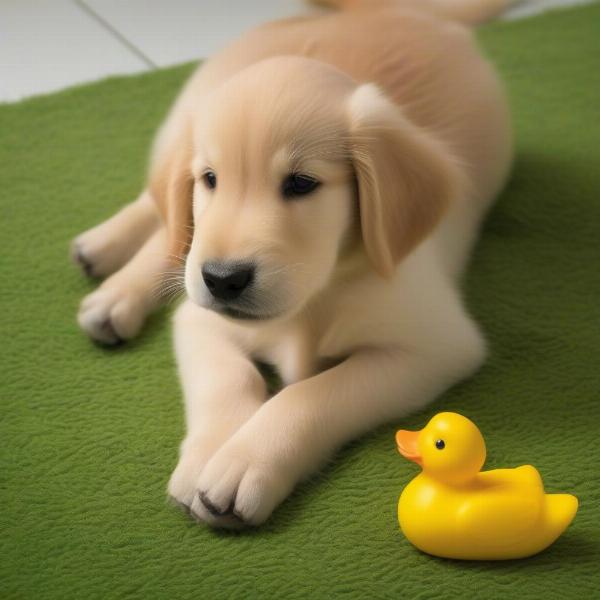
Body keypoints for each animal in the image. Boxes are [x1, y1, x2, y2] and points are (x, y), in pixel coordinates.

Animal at [70, 0, 510, 524]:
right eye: (211, 179)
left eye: (301, 184)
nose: (222, 280)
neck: (315, 296)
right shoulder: (198, 318)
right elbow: (228, 379)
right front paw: (206, 456)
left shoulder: (432, 347)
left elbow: (312, 393)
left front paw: (243, 462)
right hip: (183, 117)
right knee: (164, 209)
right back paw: (109, 270)